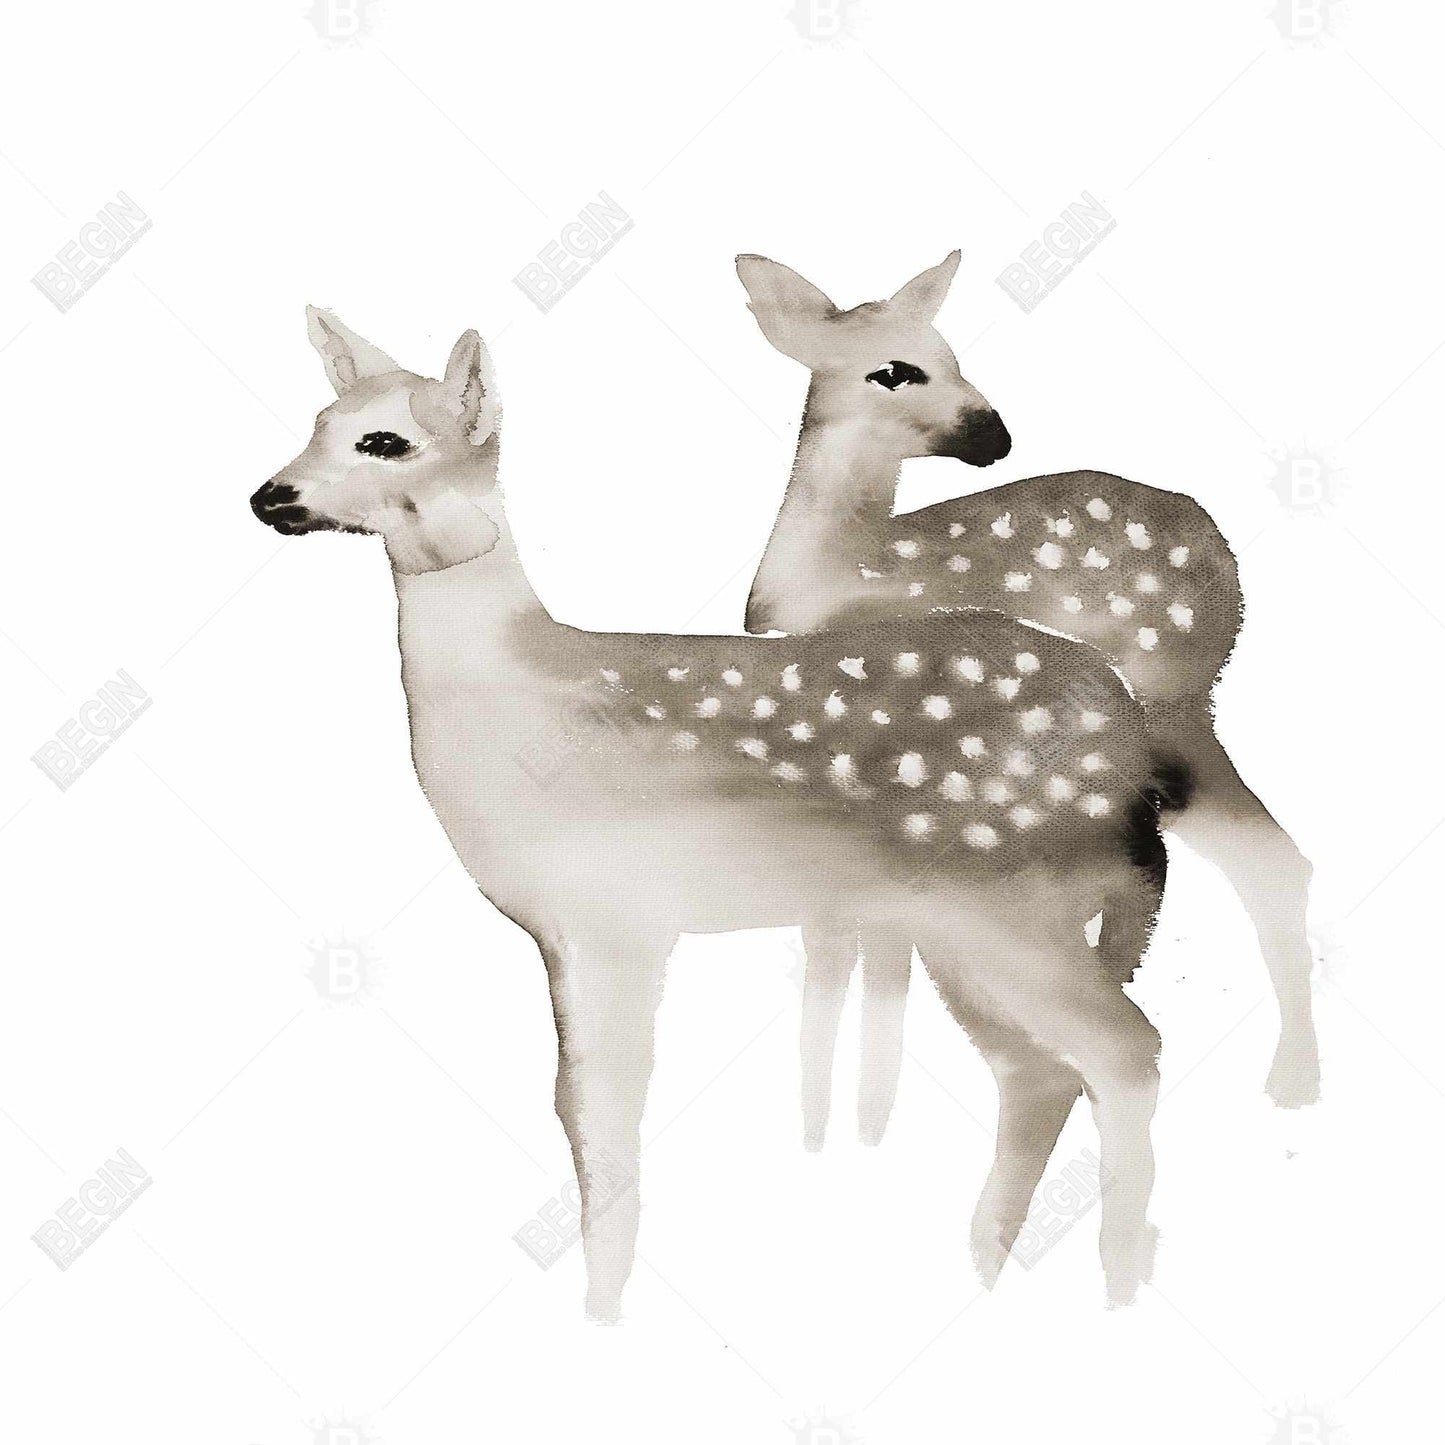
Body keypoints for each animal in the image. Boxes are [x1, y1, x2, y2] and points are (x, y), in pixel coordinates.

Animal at [249, 310, 1178, 1315]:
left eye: (384, 440)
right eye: (317, 420)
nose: (269, 496)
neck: (523, 703)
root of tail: (1127, 745)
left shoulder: (619, 916)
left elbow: (606, 1110)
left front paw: (604, 1305)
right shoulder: (566, 934)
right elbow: (574, 1105)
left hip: (1014, 902)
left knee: (1126, 1050)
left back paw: (1116, 1279)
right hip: (963, 924)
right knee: (1038, 1069)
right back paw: (987, 1264)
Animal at [735, 252, 1319, 1155]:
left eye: (950, 352)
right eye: (895, 370)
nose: (994, 435)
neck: (832, 575)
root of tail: (1223, 565)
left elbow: (868, 953)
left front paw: (857, 1125)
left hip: (1161, 715)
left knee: (1256, 864)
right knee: (1270, 860)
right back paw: (1289, 1084)